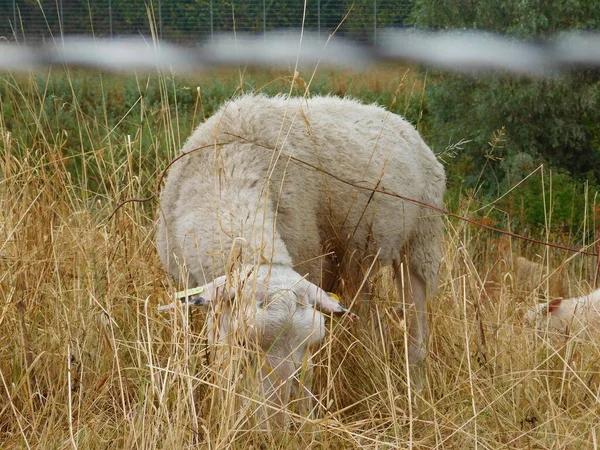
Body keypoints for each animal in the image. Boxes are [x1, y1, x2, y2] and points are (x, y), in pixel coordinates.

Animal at [157, 93, 448, 416]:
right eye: (243, 343)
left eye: (311, 345)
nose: (279, 416)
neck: (231, 167)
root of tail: (399, 119)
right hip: (360, 260)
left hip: (421, 244)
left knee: (417, 327)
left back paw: (417, 393)